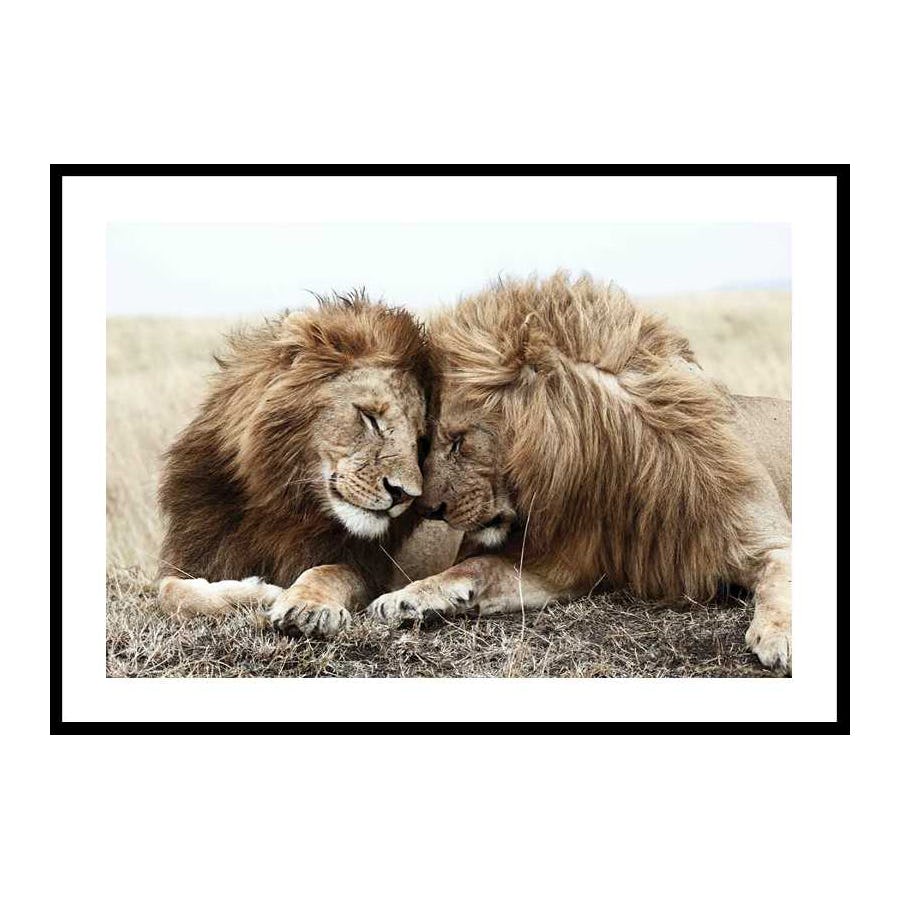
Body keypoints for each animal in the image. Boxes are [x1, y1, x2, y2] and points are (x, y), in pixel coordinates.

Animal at [157, 292, 432, 638]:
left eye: (420, 440)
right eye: (370, 417)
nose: (405, 495)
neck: (283, 503)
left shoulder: (369, 569)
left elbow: (329, 571)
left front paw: (305, 607)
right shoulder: (193, 555)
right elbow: (169, 591)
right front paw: (258, 593)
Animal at [366, 273, 793, 673]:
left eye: (458, 441)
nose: (427, 510)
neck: (613, 468)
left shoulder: (768, 539)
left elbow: (781, 580)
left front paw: (780, 638)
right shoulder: (563, 565)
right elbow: (478, 566)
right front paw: (405, 598)